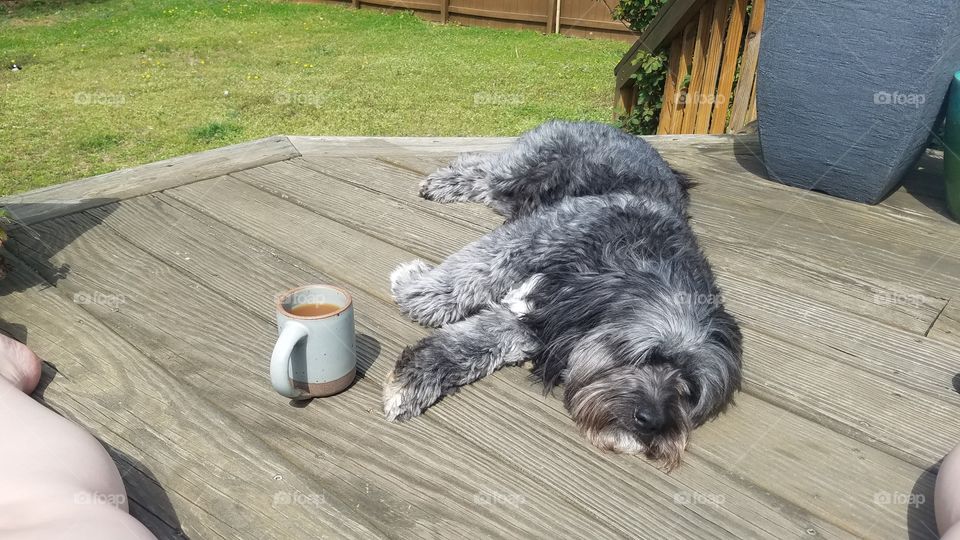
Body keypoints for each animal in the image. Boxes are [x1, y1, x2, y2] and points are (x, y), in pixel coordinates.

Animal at [382, 119, 744, 468]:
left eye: (689, 389)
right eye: (647, 355)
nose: (652, 421)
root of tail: (616, 129)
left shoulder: (546, 321)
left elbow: (476, 343)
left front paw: (416, 378)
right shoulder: (535, 237)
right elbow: (475, 268)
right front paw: (416, 289)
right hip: (521, 168)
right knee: (481, 164)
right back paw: (443, 181)